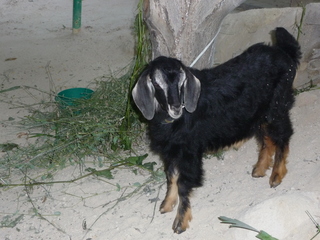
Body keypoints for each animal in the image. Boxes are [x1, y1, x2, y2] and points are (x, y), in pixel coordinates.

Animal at [132, 27, 300, 233]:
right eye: (156, 84)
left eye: (182, 83)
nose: (177, 107)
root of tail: (284, 53)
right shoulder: (171, 150)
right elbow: (171, 177)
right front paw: (166, 204)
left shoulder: (189, 151)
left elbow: (183, 183)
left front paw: (180, 223)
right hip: (260, 115)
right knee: (267, 140)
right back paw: (260, 169)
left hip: (277, 108)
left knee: (283, 136)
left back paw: (276, 175)